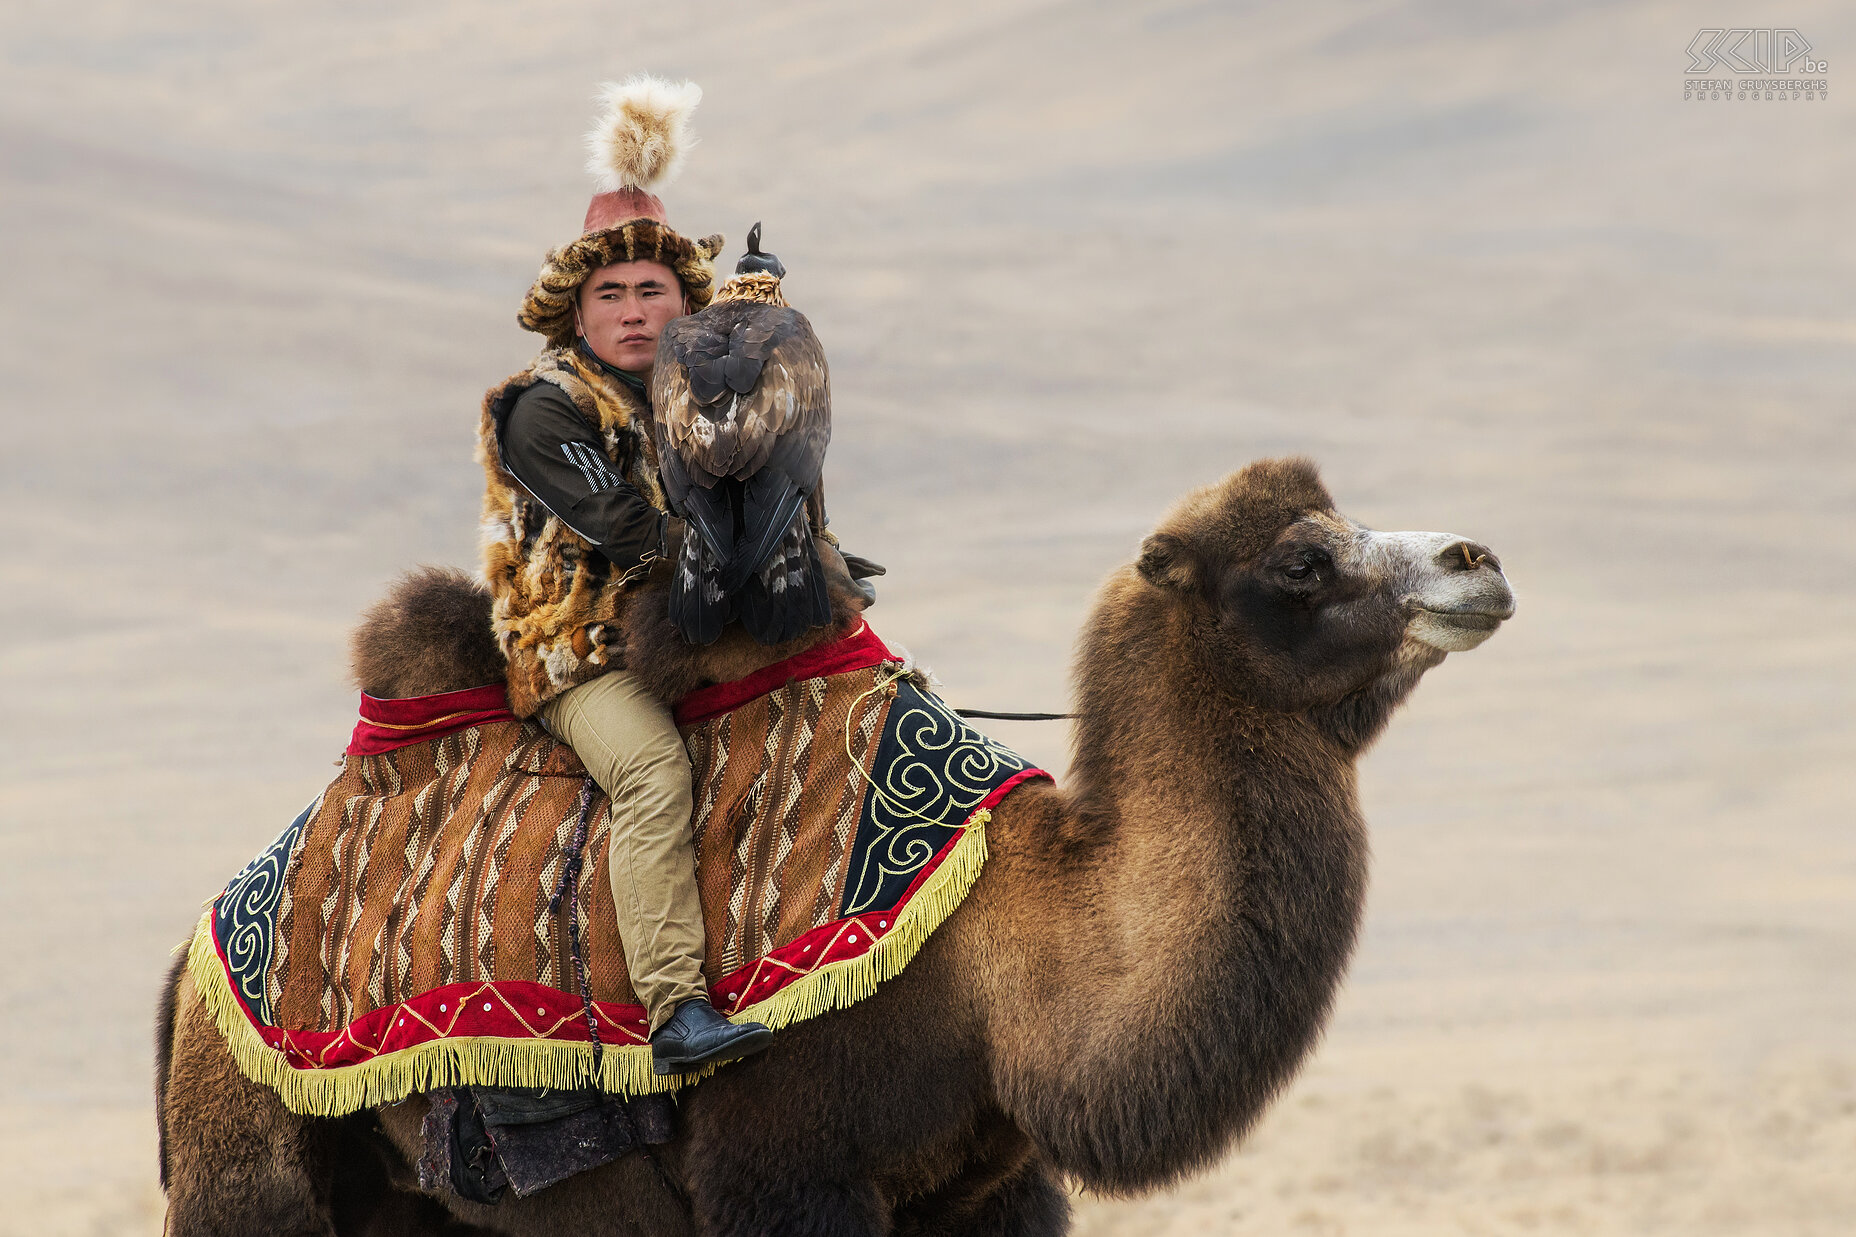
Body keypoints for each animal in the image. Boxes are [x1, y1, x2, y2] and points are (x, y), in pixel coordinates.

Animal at [159, 455, 1514, 1233]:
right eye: (1300, 558)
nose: (1477, 558)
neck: (995, 963)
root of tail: (199, 950)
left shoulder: (991, 1191)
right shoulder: (784, 1171)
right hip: (252, 1165)